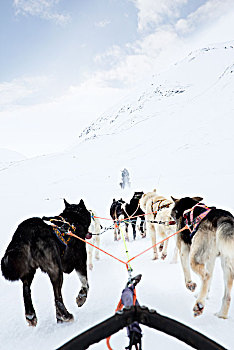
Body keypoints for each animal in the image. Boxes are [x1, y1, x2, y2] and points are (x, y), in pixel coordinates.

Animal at [1, 198, 91, 326]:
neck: (73, 219)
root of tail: (25, 232)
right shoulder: (80, 261)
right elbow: (85, 283)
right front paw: (81, 298)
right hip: (56, 270)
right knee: (57, 298)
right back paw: (66, 316)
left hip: (29, 271)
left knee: (26, 290)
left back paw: (31, 315)